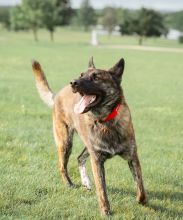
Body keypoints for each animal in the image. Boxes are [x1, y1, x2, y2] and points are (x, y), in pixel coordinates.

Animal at [31, 57, 146, 217]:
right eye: (81, 74)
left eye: (96, 77)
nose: (73, 82)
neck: (105, 121)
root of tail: (58, 94)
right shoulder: (97, 160)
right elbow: (102, 189)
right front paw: (105, 211)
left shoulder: (132, 156)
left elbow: (140, 185)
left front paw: (142, 201)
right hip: (66, 142)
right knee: (62, 166)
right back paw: (69, 184)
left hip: (86, 146)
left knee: (79, 158)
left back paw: (85, 182)